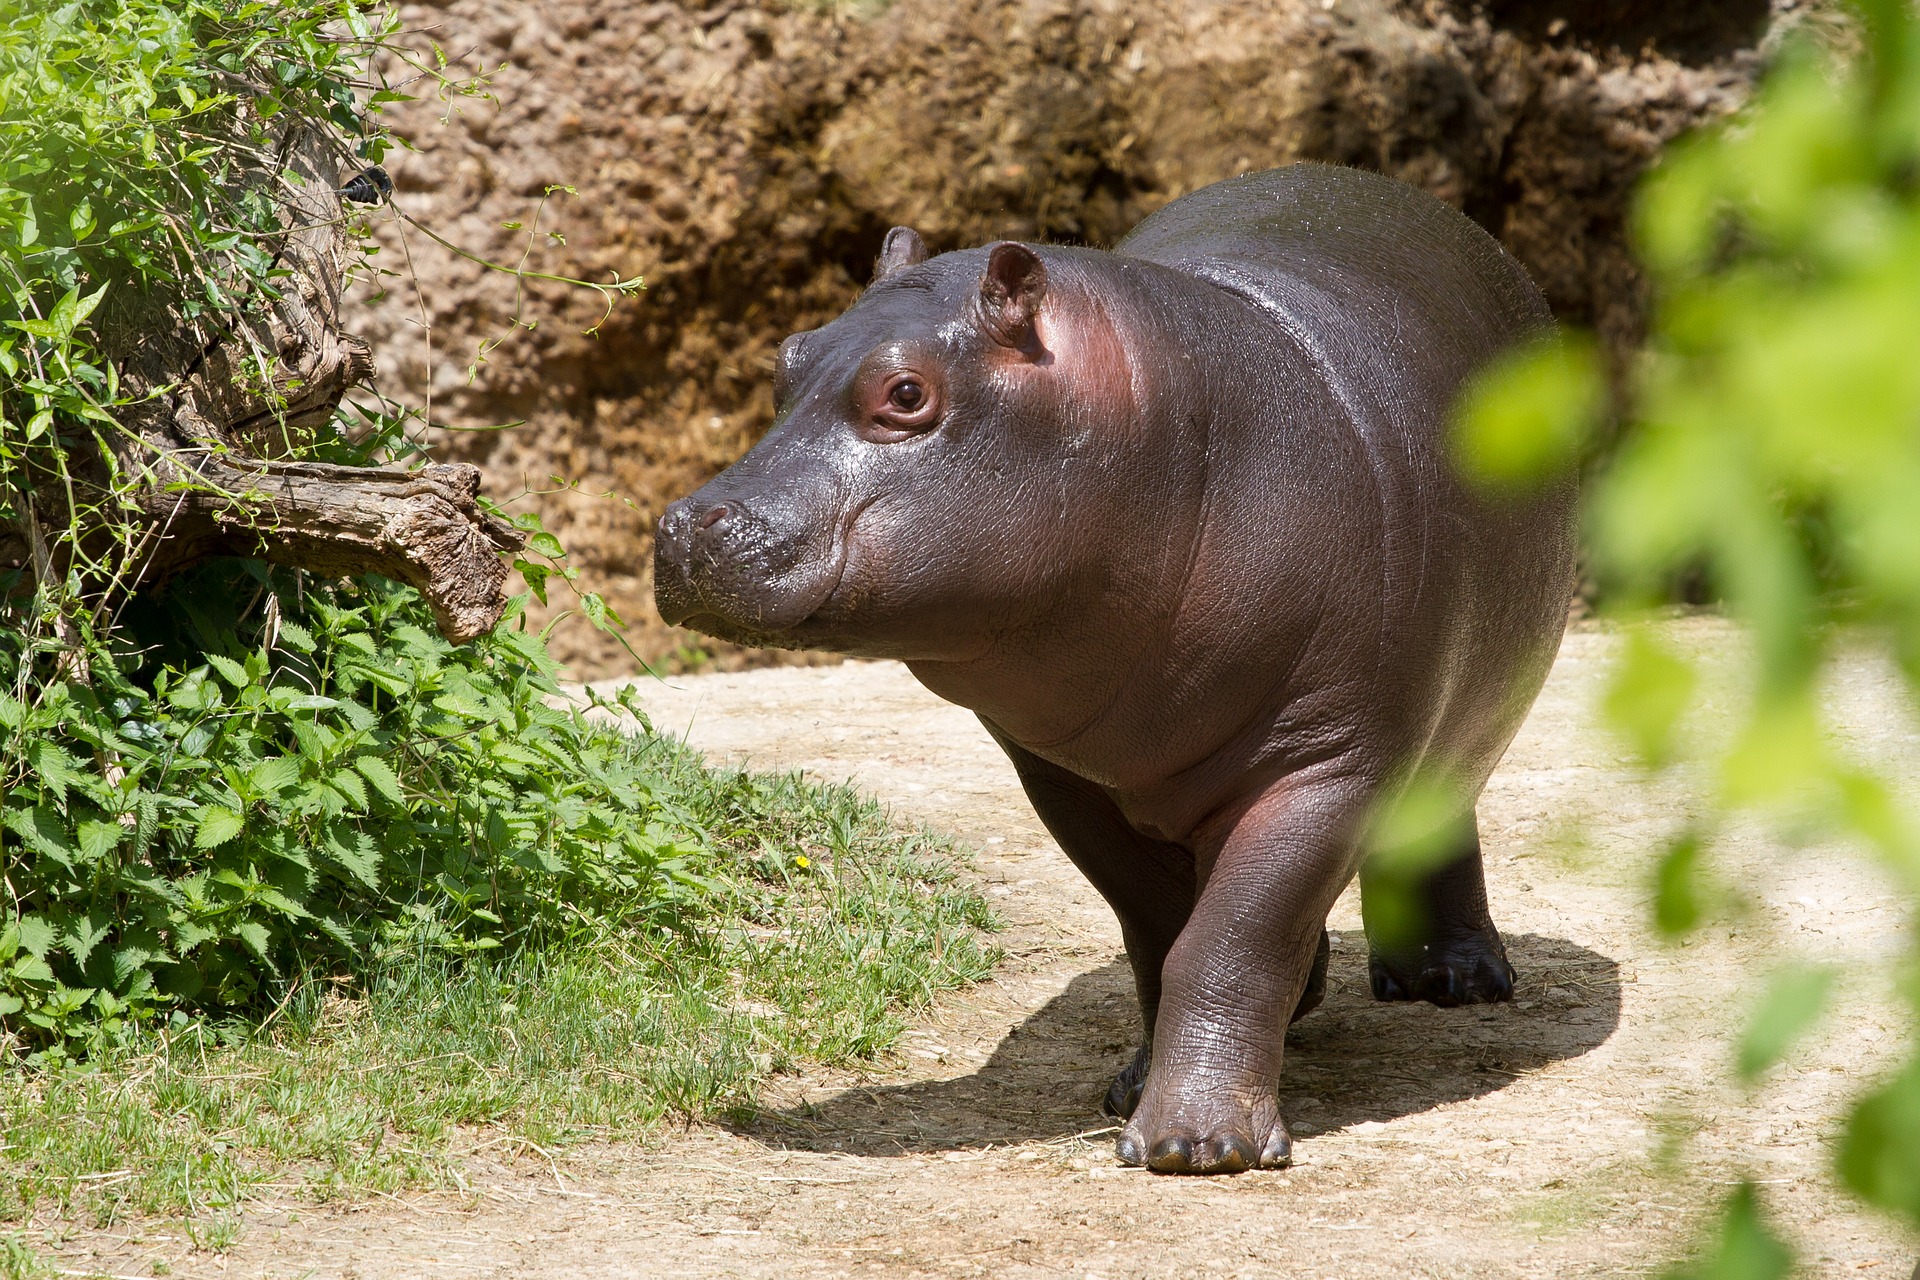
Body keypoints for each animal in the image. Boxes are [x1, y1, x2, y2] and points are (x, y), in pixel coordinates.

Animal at [652, 165, 1582, 1174]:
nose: (685, 525)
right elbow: (1158, 929)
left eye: (904, 392)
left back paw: (1454, 981)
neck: (1162, 434)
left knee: (1439, 812)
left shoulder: (1330, 761)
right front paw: (1135, 1091)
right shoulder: (1063, 776)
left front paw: (1196, 1145)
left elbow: (1233, 938)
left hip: (1464, 718)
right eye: (787, 360)